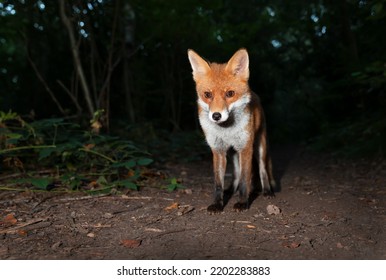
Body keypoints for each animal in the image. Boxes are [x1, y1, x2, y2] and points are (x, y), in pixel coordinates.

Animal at [187, 49, 274, 213]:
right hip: (233, 153)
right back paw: (231, 190)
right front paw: (217, 204)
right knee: (236, 174)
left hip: (259, 147)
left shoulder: (245, 147)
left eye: (230, 94)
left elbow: (245, 180)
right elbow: (218, 184)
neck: (226, 130)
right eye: (207, 95)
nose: (216, 115)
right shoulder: (218, 150)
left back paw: (267, 191)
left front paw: (242, 202)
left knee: (263, 170)